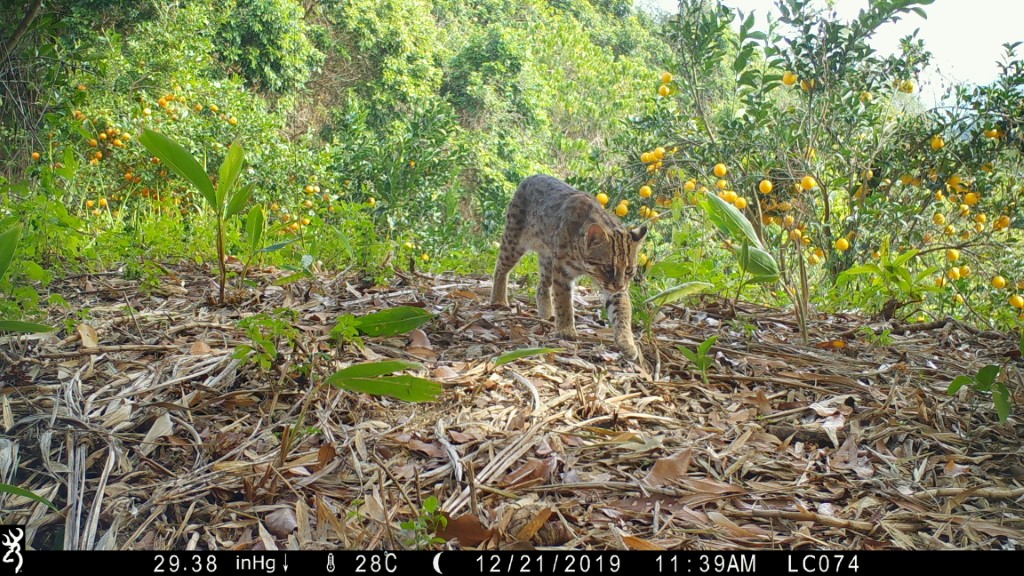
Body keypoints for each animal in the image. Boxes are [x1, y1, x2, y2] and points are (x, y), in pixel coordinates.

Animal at [489, 175, 647, 360]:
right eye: (607, 268)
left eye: (629, 270)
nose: (620, 285)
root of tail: (532, 176)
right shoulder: (562, 273)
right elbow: (563, 301)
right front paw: (566, 330)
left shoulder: (613, 289)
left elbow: (622, 310)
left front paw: (627, 342)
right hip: (514, 241)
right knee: (500, 268)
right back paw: (498, 301)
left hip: (548, 257)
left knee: (542, 286)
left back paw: (547, 315)